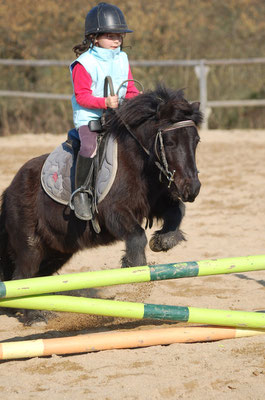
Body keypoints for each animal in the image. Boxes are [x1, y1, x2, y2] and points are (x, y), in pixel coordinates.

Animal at [0, 86, 202, 284]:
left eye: (196, 141)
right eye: (169, 143)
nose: (192, 189)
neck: (136, 162)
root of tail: (8, 191)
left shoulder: (154, 204)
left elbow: (177, 211)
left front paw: (162, 241)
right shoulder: (113, 211)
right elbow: (137, 237)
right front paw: (133, 266)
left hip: (56, 253)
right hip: (30, 250)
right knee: (21, 279)